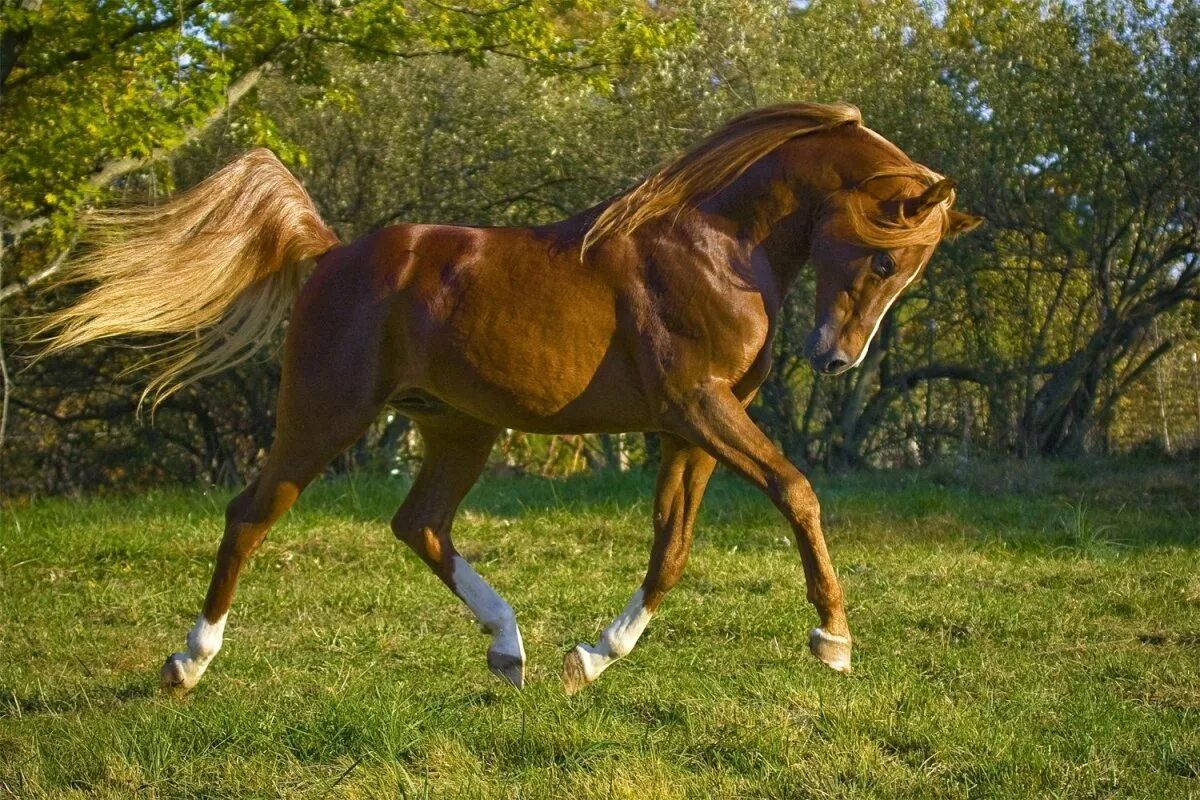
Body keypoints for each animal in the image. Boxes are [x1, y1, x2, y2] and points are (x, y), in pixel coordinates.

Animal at [39, 103, 984, 695]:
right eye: (885, 256)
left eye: (908, 269)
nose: (836, 358)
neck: (714, 245)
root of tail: (332, 252)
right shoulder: (699, 407)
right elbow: (797, 492)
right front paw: (834, 642)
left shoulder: (690, 430)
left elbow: (671, 549)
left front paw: (591, 658)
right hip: (324, 416)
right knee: (252, 514)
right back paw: (187, 663)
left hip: (460, 428)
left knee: (418, 524)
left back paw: (512, 651)